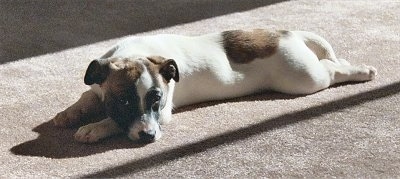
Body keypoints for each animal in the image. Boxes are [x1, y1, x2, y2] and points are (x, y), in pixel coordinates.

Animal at [52, 29, 376, 144]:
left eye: (157, 100)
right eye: (124, 101)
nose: (148, 137)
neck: (134, 53)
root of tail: (290, 33)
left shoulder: (164, 113)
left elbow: (113, 122)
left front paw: (95, 128)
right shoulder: (97, 88)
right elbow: (86, 98)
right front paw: (68, 115)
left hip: (302, 78)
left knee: (331, 69)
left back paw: (362, 71)